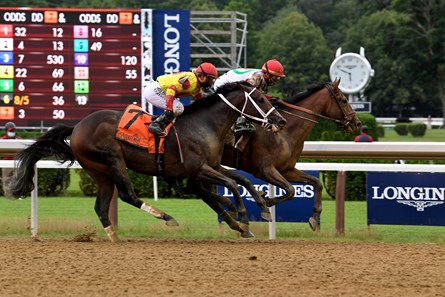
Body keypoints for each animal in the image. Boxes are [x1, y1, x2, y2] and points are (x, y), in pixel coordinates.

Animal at [12, 81, 286, 240]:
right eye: (261, 100)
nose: (280, 121)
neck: (204, 125)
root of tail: (77, 126)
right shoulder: (199, 169)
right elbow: (231, 185)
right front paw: (244, 219)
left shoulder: (213, 166)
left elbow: (242, 181)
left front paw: (263, 207)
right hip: (112, 160)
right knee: (127, 195)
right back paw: (166, 217)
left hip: (100, 171)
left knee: (101, 206)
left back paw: (114, 237)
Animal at [198, 79, 360, 231]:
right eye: (344, 100)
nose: (357, 123)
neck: (284, 133)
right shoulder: (264, 170)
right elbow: (290, 190)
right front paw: (264, 200)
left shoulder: (286, 170)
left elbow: (316, 183)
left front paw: (314, 218)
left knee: (204, 192)